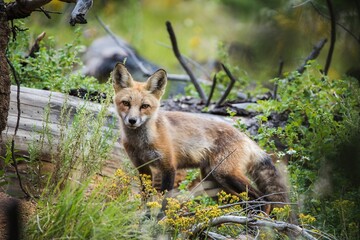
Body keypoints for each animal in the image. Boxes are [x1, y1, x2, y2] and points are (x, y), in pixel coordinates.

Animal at [112, 62, 290, 213]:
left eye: (144, 106)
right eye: (126, 103)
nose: (132, 121)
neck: (142, 143)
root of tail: (246, 137)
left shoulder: (169, 166)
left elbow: (164, 200)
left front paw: (157, 221)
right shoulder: (142, 168)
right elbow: (146, 198)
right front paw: (144, 218)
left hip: (226, 174)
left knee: (264, 200)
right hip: (214, 183)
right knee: (246, 203)